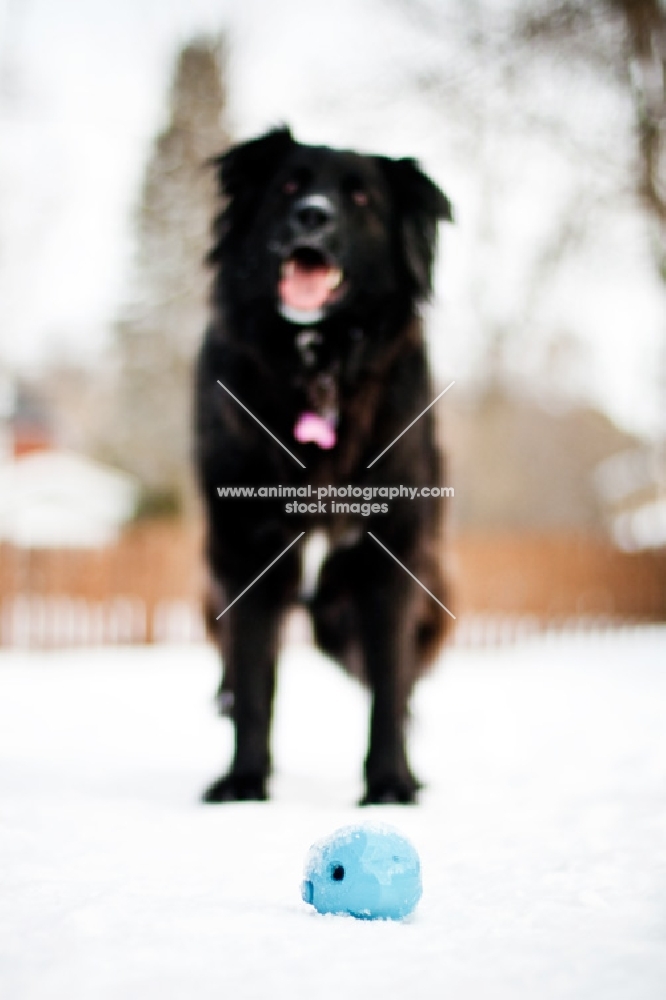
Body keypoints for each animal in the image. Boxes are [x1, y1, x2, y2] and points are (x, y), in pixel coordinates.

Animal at [192, 129, 452, 808]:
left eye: (360, 198)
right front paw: (244, 782)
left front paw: (391, 784)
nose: (313, 215)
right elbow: (255, 684)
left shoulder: (389, 562)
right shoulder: (246, 555)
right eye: (288, 186)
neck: (318, 367)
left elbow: (389, 685)